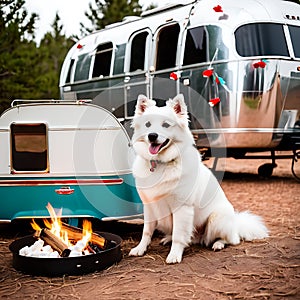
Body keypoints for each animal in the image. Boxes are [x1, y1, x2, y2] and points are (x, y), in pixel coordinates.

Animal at [129, 94, 268, 262]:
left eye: (166, 125)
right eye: (148, 124)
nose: (152, 136)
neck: (161, 164)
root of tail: (237, 224)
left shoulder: (182, 208)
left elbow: (178, 235)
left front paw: (174, 255)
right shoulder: (149, 206)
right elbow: (147, 231)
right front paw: (140, 249)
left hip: (216, 218)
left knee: (232, 239)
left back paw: (218, 244)